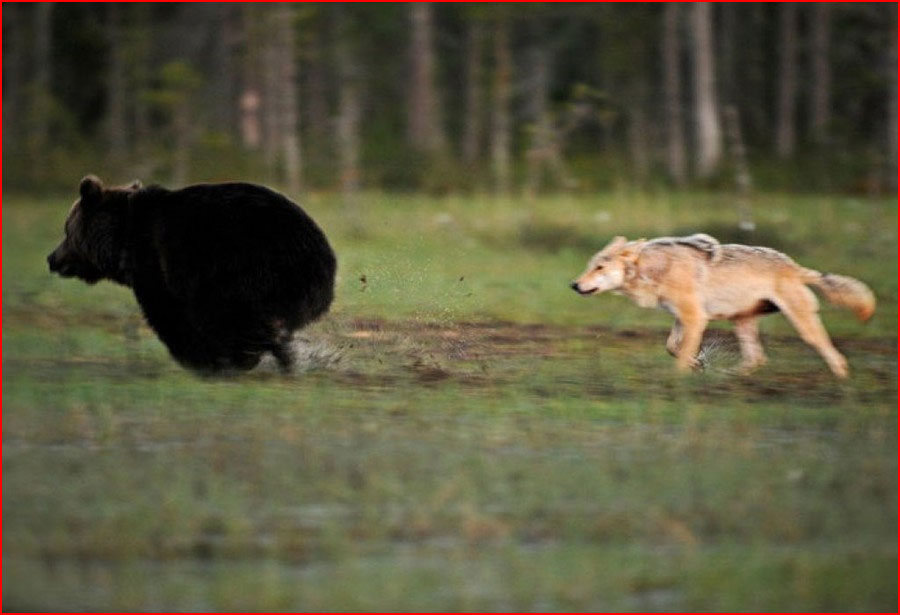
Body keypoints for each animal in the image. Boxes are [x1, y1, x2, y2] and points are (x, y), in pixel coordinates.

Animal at [572, 236, 876, 380]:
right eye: (590, 266)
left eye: (600, 267)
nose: (574, 285)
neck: (653, 270)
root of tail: (796, 267)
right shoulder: (685, 318)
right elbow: (673, 347)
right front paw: (698, 365)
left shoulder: (695, 318)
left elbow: (680, 356)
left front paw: (678, 382)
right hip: (741, 322)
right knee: (757, 359)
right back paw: (726, 378)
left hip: (802, 326)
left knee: (835, 356)